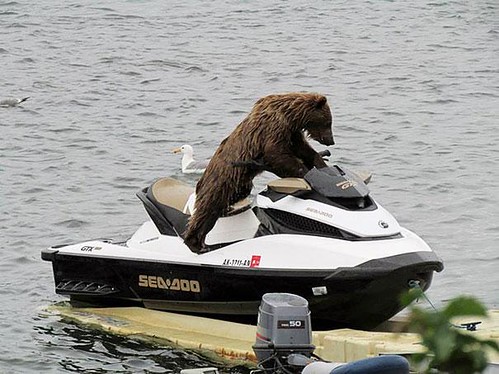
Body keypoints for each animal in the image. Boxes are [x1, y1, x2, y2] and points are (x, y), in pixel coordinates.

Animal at [182, 92, 334, 253]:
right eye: (328, 122)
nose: (331, 140)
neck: (290, 115)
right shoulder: (273, 128)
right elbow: (276, 154)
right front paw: (304, 173)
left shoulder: (291, 133)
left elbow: (303, 149)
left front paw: (321, 163)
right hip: (219, 183)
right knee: (206, 211)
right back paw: (196, 244)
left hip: (239, 184)